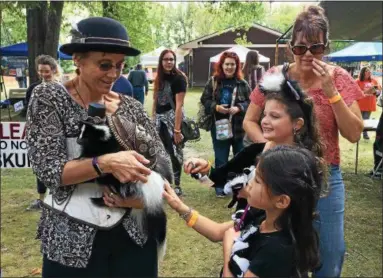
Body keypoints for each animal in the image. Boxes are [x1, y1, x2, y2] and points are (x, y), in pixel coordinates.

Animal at [76, 102, 172, 256]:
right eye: (80, 132)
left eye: (86, 136)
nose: (78, 140)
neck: (107, 137)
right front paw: (79, 158)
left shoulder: (109, 149)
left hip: (122, 181)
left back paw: (100, 199)